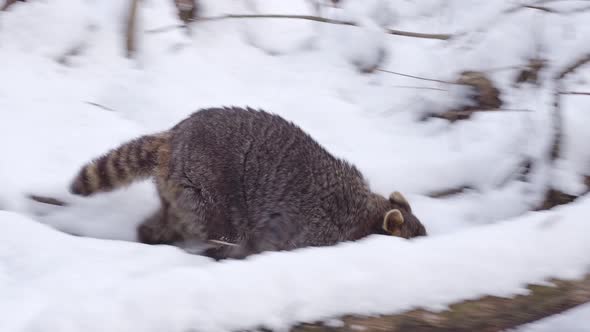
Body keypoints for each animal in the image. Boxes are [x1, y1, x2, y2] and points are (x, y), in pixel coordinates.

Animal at [71, 107, 428, 260]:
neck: (368, 207)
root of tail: (172, 137)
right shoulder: (316, 225)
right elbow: (274, 239)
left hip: (180, 190)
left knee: (170, 221)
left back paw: (150, 236)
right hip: (208, 183)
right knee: (226, 231)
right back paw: (216, 252)